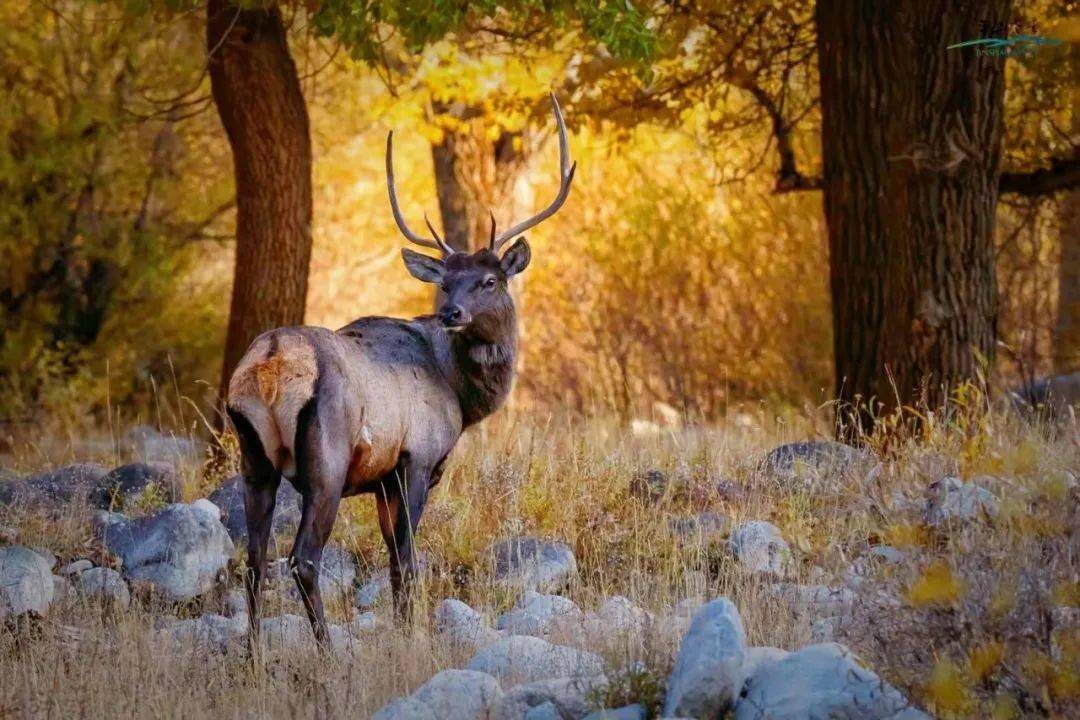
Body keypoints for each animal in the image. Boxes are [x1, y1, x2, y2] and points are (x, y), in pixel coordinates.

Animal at [220, 92, 574, 643]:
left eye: (489, 280)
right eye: (446, 282)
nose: (452, 313)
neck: (460, 396)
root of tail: (270, 364)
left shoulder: (384, 479)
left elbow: (391, 564)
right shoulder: (418, 459)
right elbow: (408, 562)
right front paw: (412, 638)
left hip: (252, 457)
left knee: (254, 560)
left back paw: (254, 653)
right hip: (326, 459)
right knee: (302, 559)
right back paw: (327, 652)